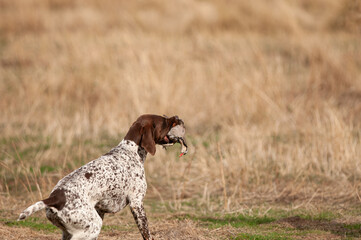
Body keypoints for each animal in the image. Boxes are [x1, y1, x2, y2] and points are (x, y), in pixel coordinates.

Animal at [19, 115, 188, 240]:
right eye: (164, 121)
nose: (177, 117)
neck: (130, 151)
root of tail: (54, 198)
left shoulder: (100, 209)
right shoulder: (137, 203)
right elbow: (147, 233)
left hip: (73, 230)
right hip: (90, 228)